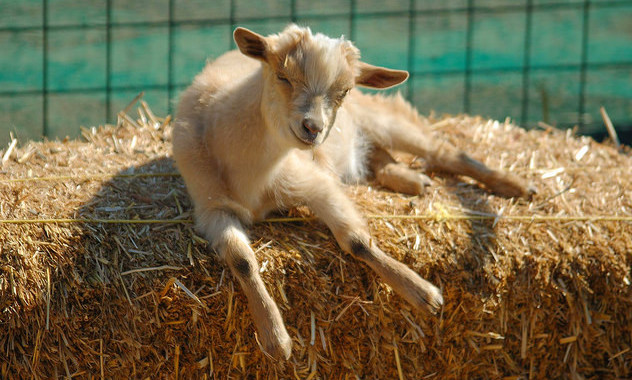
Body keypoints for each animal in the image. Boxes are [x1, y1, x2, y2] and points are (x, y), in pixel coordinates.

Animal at [172, 24, 528, 360]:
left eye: (343, 92)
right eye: (282, 76)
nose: (313, 129)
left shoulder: (313, 182)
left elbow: (357, 241)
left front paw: (423, 293)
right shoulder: (212, 208)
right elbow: (242, 259)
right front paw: (275, 337)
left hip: (384, 120)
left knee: (445, 152)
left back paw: (517, 186)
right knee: (379, 155)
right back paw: (411, 179)